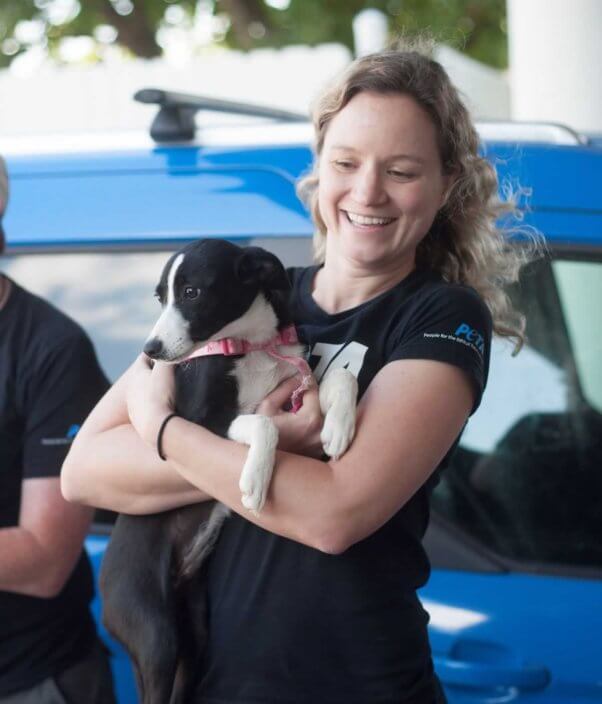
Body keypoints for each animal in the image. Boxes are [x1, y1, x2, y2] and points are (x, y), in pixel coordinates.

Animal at [99, 241, 356, 704]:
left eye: (192, 293)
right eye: (159, 298)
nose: (150, 349)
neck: (248, 345)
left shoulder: (298, 386)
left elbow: (341, 381)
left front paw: (339, 426)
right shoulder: (203, 421)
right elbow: (264, 423)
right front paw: (254, 482)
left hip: (195, 633)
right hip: (153, 630)